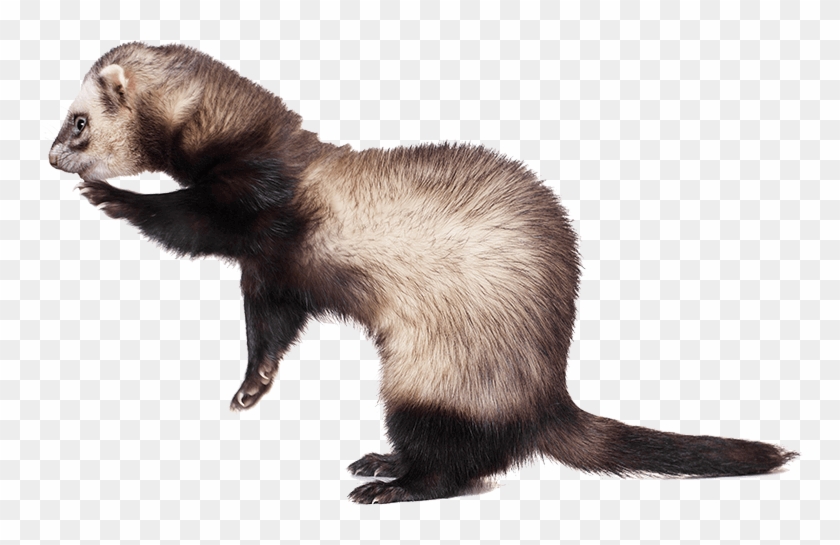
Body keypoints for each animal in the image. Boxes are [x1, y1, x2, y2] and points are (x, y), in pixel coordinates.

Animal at [49, 42, 796, 503]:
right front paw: (252, 386)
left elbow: (186, 223)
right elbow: (269, 328)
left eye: (77, 120)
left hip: (428, 383)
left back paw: (390, 485)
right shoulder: (272, 271)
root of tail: (546, 397)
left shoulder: (253, 209)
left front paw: (114, 197)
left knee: (456, 467)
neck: (263, 145)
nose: (52, 154)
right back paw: (380, 460)